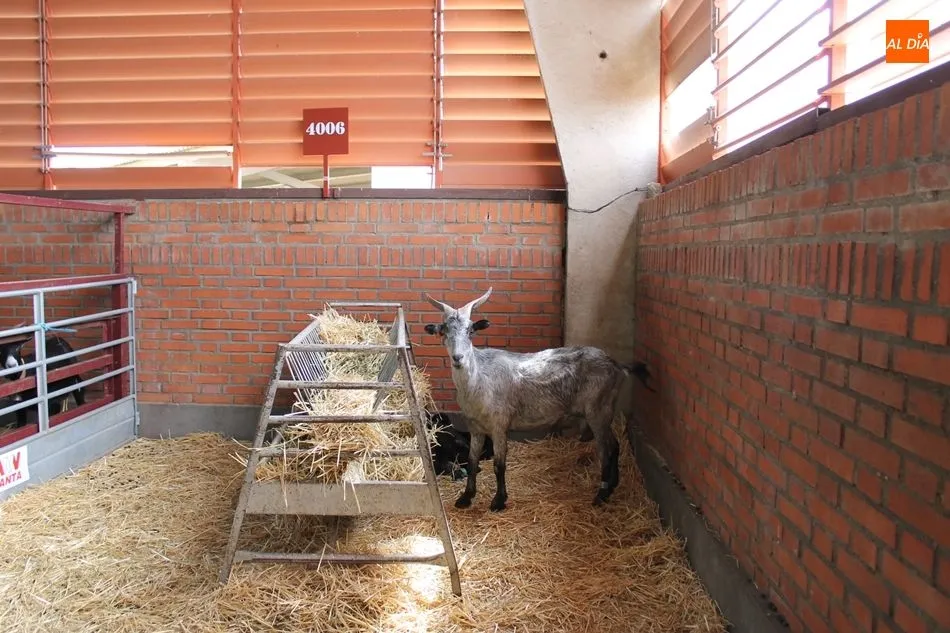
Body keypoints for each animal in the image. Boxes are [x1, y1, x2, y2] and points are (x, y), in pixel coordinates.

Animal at [423, 287, 655, 511]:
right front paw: (465, 498)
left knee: (606, 450)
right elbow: (472, 461)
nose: (458, 358)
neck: (479, 378)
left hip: (598, 410)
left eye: (471, 330)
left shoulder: (499, 425)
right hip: (603, 411)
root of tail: (616, 365)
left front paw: (498, 501)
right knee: (615, 446)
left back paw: (601, 495)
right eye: (444, 331)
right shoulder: (475, 427)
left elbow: (499, 465)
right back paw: (611, 487)